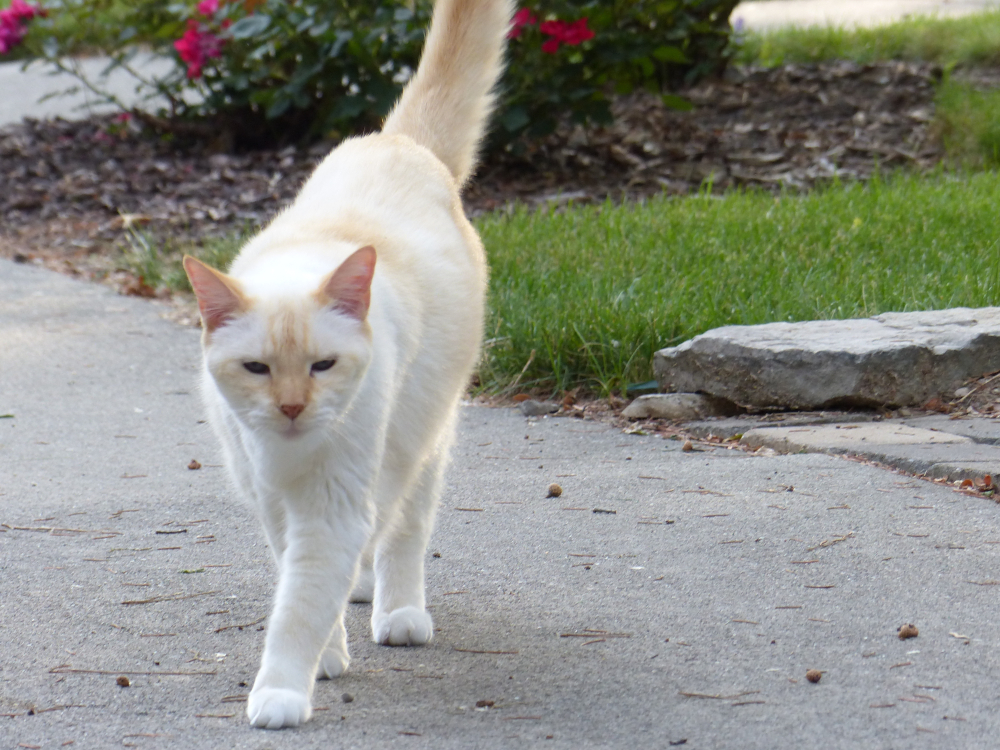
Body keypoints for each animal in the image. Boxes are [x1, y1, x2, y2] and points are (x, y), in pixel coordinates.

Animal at [182, 0, 516, 728]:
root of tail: (399, 142)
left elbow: (300, 606)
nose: (290, 408)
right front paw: (326, 659)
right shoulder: (272, 503)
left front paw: (283, 692)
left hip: (422, 436)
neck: (291, 457)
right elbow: (300, 584)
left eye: (323, 365)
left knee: (403, 529)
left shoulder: (331, 509)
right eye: (256, 369)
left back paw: (399, 611)